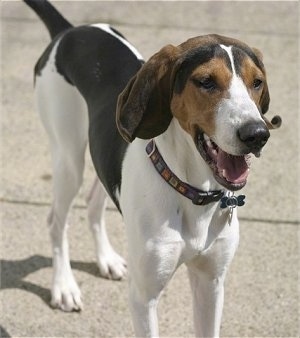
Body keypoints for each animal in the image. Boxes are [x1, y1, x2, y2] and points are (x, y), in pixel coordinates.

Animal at [24, 0, 282, 336]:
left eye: (257, 82)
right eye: (206, 82)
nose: (256, 135)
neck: (193, 193)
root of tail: (68, 30)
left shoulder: (211, 282)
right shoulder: (144, 296)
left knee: (93, 202)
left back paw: (106, 259)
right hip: (68, 158)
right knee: (56, 220)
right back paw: (64, 286)